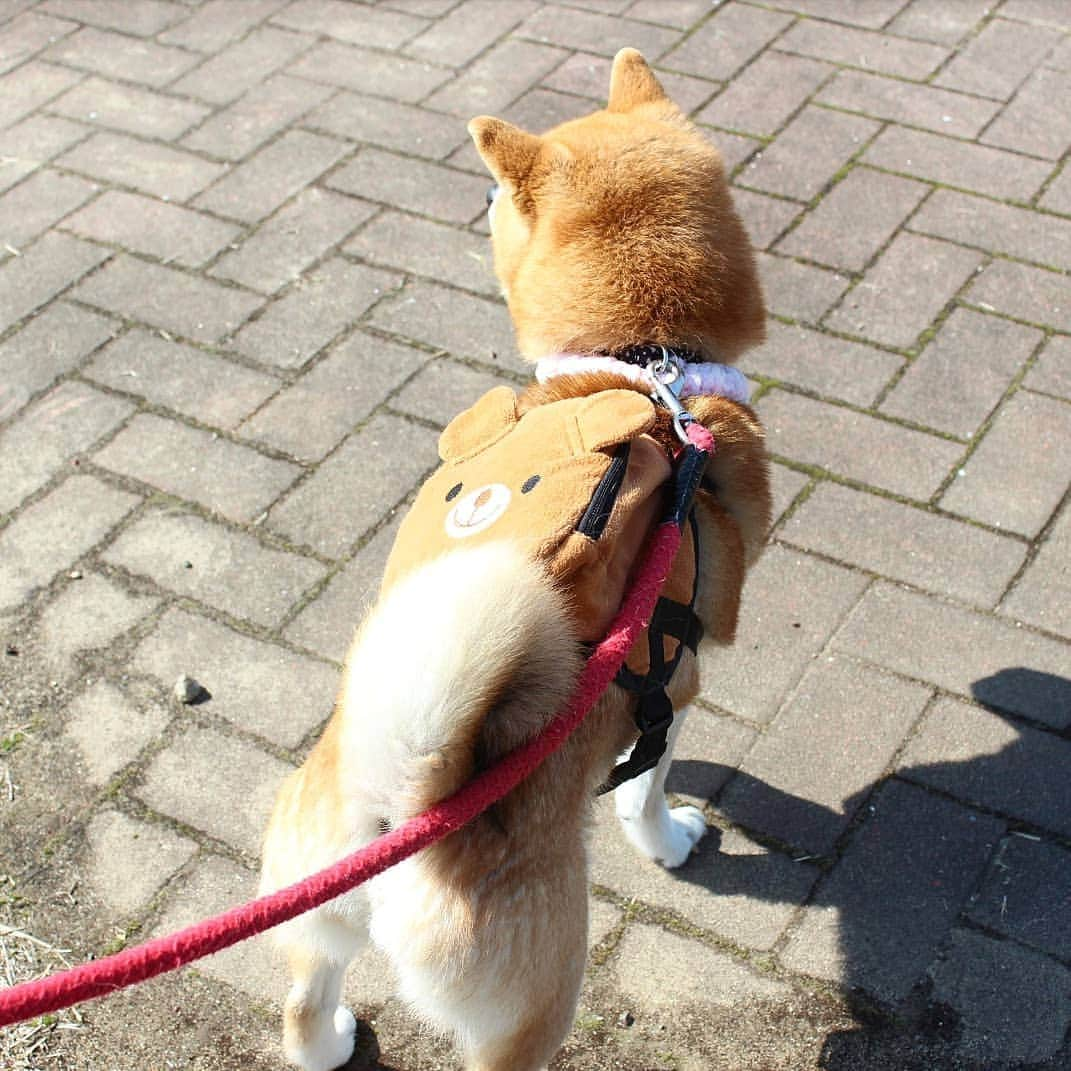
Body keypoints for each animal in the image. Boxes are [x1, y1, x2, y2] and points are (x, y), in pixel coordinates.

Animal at [263, 48, 775, 1071]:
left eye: (495, 195)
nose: (475, 201)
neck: (642, 358)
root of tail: (407, 803)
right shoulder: (678, 679)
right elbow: (647, 784)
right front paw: (668, 837)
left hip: (311, 894)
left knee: (305, 997)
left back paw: (331, 1038)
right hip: (539, 997)